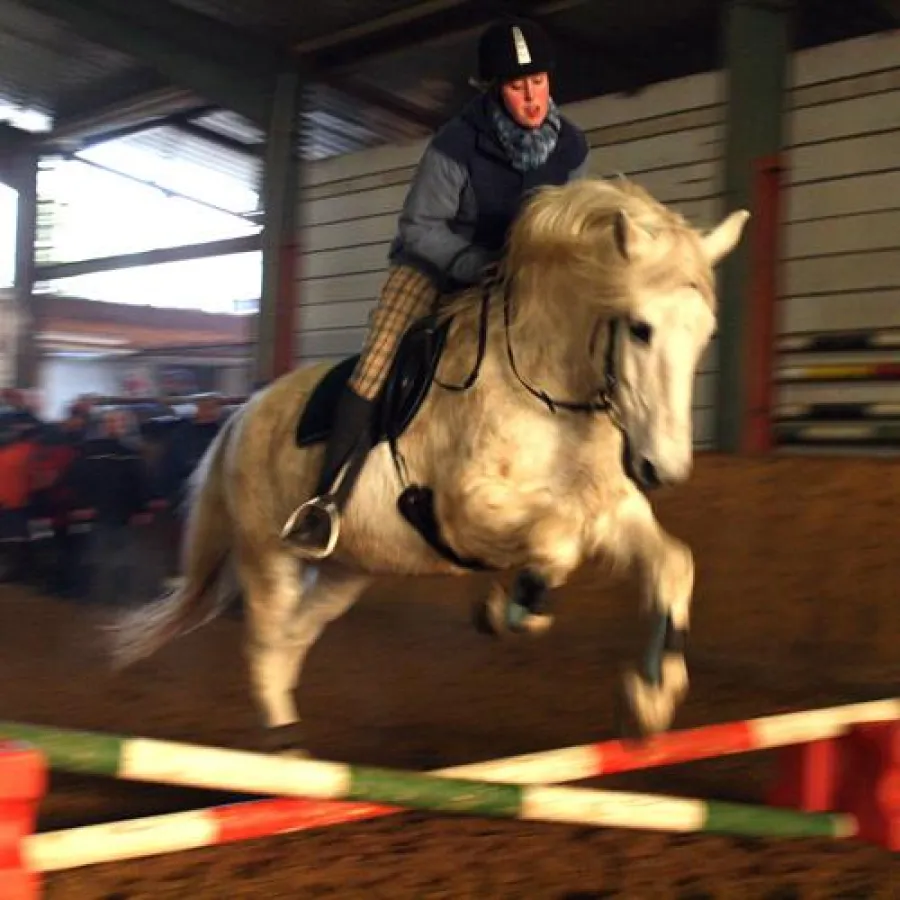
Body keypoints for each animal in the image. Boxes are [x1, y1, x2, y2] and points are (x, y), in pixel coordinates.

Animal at [109, 176, 749, 754]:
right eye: (640, 329)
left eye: (706, 333)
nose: (662, 469)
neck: (545, 388)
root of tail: (241, 415)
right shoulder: (464, 511)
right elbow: (557, 541)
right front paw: (511, 608)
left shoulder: (610, 511)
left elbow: (671, 564)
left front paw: (648, 700)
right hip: (268, 555)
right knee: (266, 642)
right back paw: (284, 750)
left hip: (345, 569)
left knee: (293, 638)